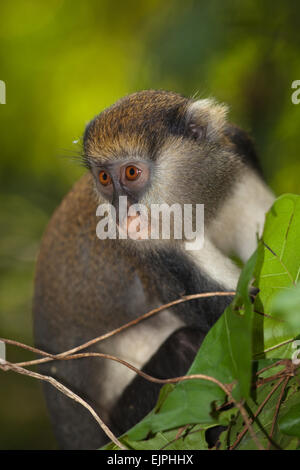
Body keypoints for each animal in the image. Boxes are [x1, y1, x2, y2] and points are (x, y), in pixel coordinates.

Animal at [32, 89, 274, 448]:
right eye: (104, 178)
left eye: (131, 173)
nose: (122, 216)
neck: (199, 201)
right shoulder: (154, 255)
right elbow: (245, 311)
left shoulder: (238, 157)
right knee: (186, 343)